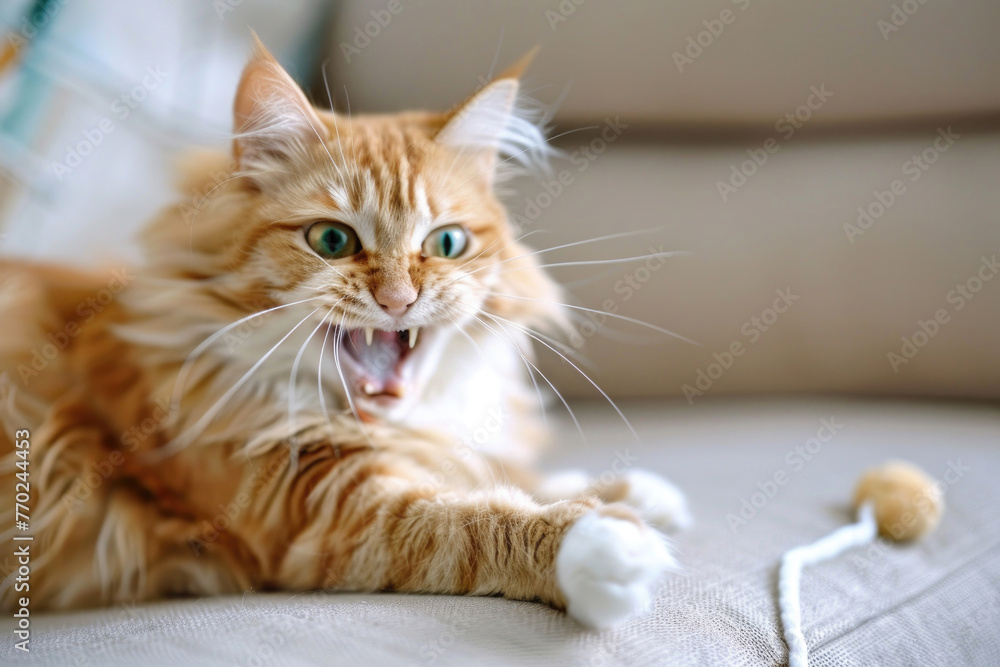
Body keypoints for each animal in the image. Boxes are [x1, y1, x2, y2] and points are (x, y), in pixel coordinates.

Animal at [0, 37, 688, 632]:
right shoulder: (327, 513)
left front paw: (633, 494)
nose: (399, 300)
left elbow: (495, 473)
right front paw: (600, 541)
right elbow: (467, 519)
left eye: (446, 243)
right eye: (332, 240)